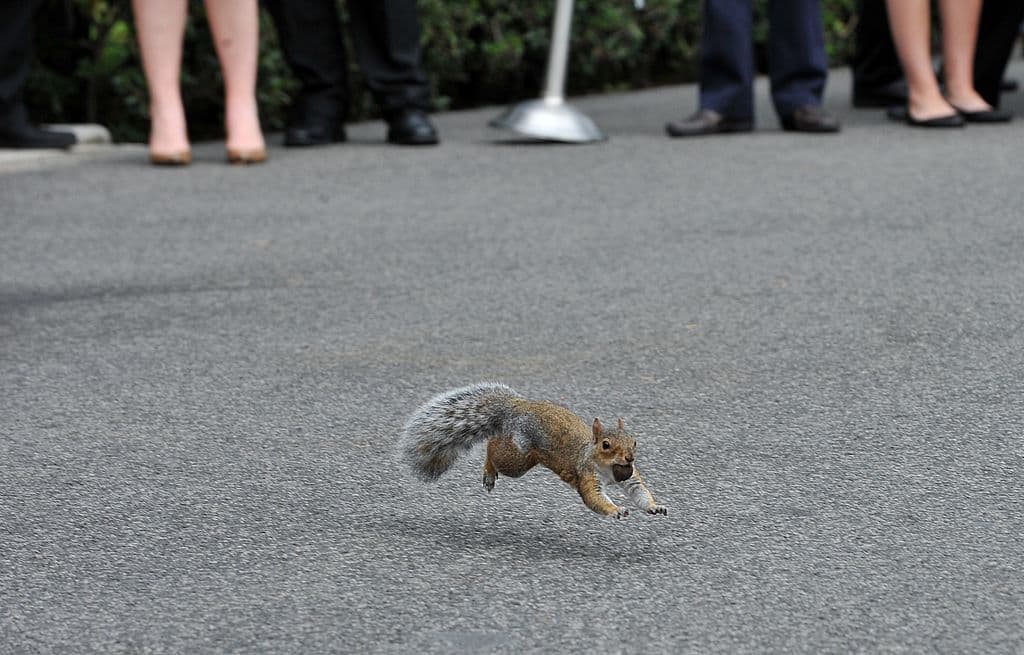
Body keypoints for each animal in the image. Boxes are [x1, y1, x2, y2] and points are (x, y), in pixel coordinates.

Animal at [399, 383, 667, 518]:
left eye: (634, 441)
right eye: (606, 445)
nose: (630, 458)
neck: (609, 470)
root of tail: (517, 407)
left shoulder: (631, 477)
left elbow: (639, 492)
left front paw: (655, 506)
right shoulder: (586, 474)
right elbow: (594, 498)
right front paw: (615, 510)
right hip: (517, 457)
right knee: (493, 447)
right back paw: (488, 472)